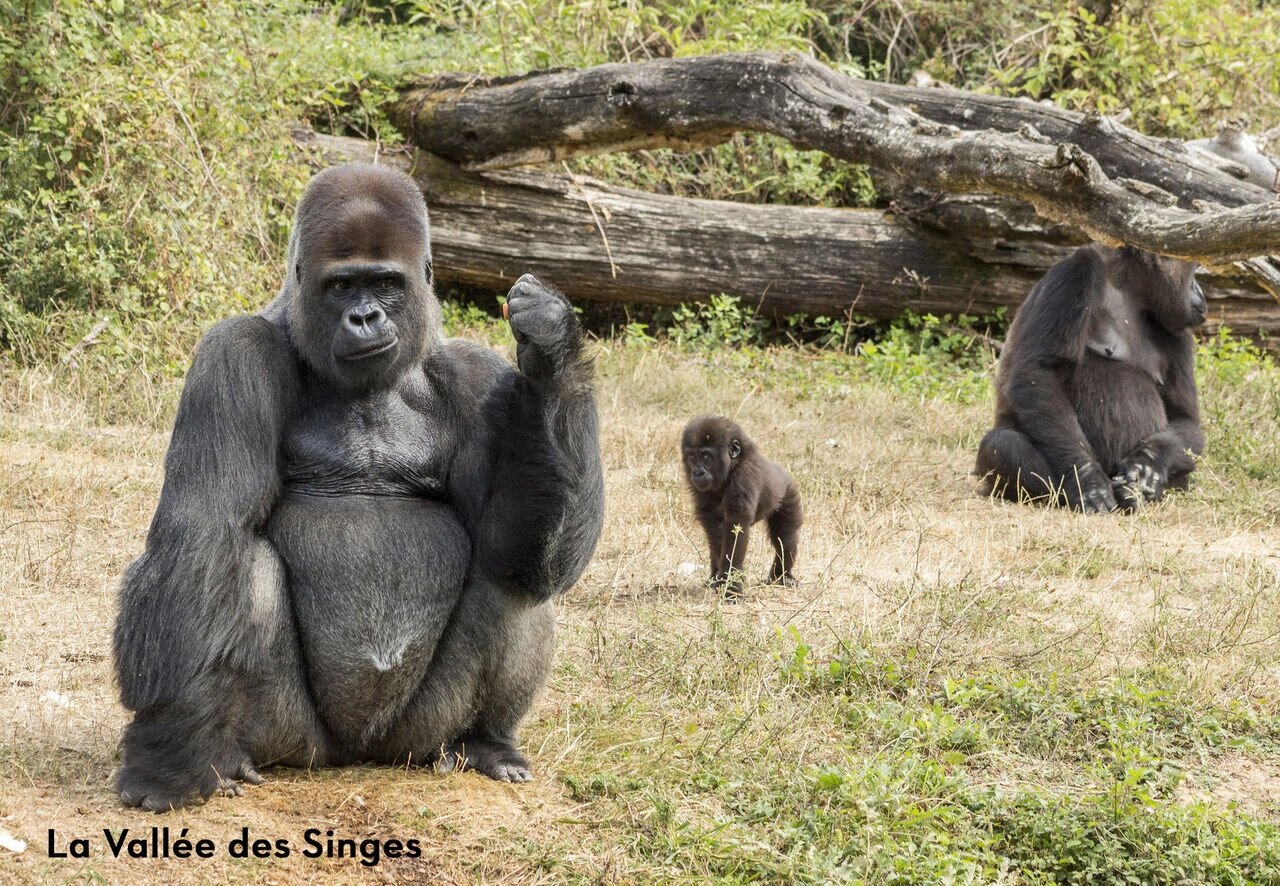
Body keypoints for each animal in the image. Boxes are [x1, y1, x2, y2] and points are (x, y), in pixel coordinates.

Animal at [112, 163, 604, 810]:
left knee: (514, 577)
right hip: (296, 739)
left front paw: (551, 350)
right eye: (342, 286)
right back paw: (224, 750)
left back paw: (486, 742)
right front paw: (165, 756)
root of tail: (357, 755)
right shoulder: (233, 354)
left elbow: (520, 552)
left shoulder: (475, 376)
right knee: (242, 565)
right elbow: (205, 531)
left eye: (385, 283)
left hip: (418, 738)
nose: (365, 318)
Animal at [681, 415, 801, 597]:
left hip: (789, 493)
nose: (697, 472)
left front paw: (731, 586)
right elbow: (714, 526)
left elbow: (736, 525)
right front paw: (719, 578)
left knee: (786, 538)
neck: (734, 463)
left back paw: (782, 576)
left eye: (706, 456)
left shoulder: (745, 474)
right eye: (692, 458)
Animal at [975, 244, 1206, 512]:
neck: (1131, 287)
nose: (1200, 290)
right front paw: (1086, 480)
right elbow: (1041, 372)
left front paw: (1148, 465)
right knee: (1002, 445)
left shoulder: (1179, 328)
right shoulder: (1078, 269)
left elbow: (1185, 418)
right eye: (1195, 269)